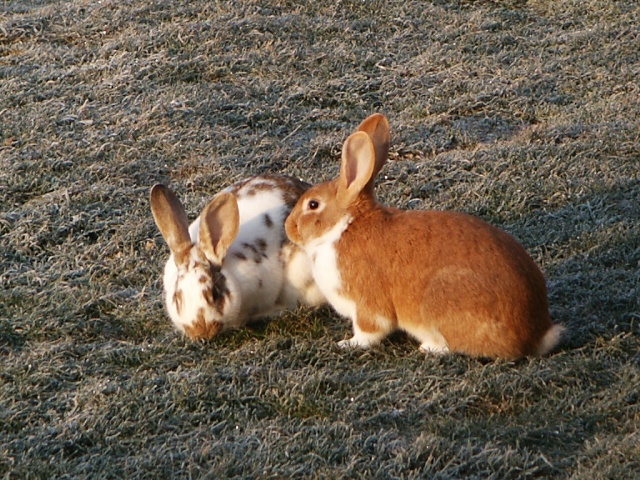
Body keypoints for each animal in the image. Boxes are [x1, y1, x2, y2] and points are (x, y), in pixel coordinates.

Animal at [282, 113, 564, 360]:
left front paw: (348, 343)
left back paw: (429, 347)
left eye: (313, 205)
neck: (344, 227)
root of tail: (534, 336)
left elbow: (370, 331)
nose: (288, 227)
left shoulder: (367, 305)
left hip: (441, 300)